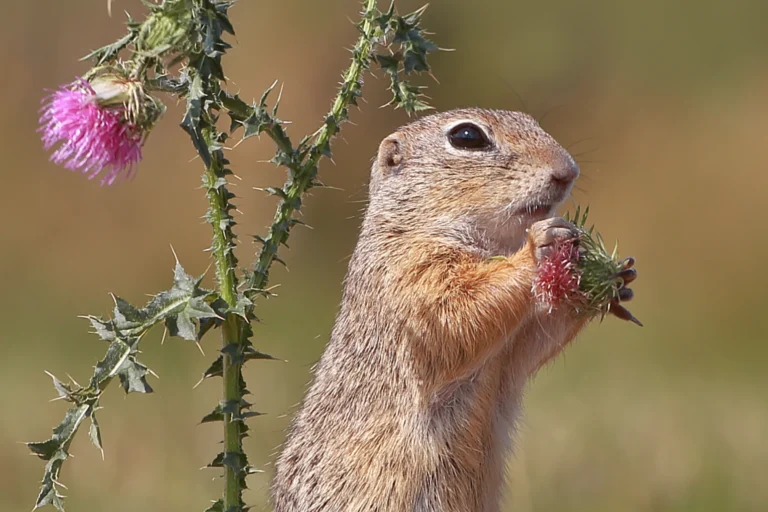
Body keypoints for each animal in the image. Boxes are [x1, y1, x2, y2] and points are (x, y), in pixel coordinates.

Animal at [271, 108, 637, 512]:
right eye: (467, 136)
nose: (567, 170)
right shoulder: (410, 278)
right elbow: (453, 315)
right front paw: (538, 246)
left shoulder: (509, 352)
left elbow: (533, 340)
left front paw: (610, 280)